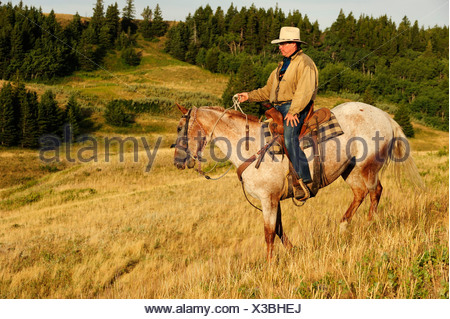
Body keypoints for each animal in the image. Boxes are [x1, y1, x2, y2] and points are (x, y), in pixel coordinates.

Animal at [172, 102, 422, 262]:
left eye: (179, 127)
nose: (178, 162)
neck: (250, 146)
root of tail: (384, 115)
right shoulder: (274, 199)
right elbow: (279, 229)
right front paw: (293, 251)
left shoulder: (268, 199)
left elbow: (269, 232)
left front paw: (269, 266)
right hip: (349, 170)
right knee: (360, 194)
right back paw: (343, 227)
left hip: (368, 166)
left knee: (375, 191)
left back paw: (370, 225)